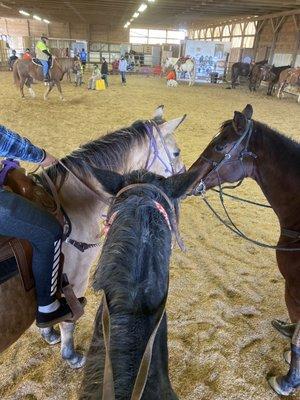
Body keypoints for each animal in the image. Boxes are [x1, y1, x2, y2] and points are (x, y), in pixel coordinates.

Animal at [0, 105, 186, 368]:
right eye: (176, 152)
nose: (189, 183)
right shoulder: (77, 280)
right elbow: (69, 321)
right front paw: (71, 355)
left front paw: (48, 333)